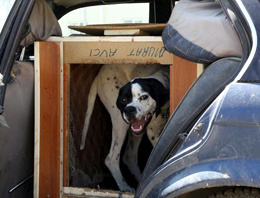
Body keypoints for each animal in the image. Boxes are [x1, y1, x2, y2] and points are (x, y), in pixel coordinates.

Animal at [80, 64, 170, 193]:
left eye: (144, 97)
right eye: (123, 99)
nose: (129, 110)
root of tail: (99, 74)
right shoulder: (152, 133)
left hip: (136, 132)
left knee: (129, 156)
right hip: (120, 122)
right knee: (111, 158)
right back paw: (124, 187)